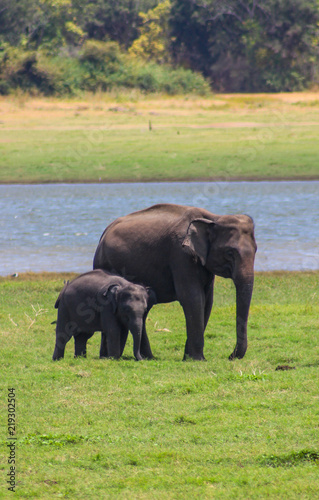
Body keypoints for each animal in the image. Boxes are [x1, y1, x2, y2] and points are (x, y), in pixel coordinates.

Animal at [93, 203, 258, 360]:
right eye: (230, 253)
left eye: (256, 250)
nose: (230, 356)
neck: (213, 217)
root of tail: (104, 233)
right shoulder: (180, 255)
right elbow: (193, 298)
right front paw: (197, 359)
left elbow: (207, 301)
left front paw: (188, 357)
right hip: (104, 263)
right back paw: (109, 357)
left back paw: (147, 357)